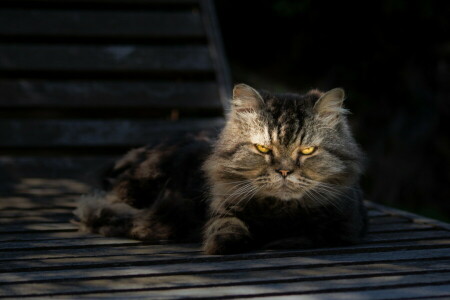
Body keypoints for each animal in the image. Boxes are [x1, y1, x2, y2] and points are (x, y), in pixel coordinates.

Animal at [74, 83, 370, 254]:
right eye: (263, 149)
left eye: (307, 151)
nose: (284, 172)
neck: (278, 211)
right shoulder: (220, 211)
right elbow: (227, 231)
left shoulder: (345, 226)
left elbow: (307, 235)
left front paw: (276, 240)